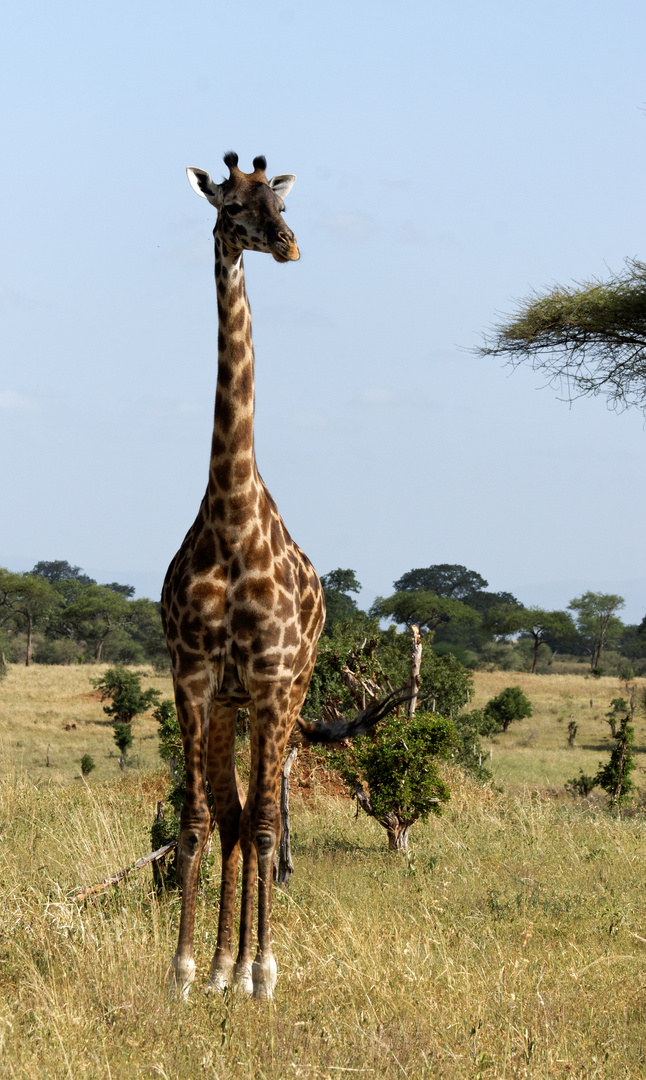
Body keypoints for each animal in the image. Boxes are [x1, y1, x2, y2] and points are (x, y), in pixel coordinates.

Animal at [163, 152, 406, 1002]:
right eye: (232, 206)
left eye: (280, 203)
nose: (290, 245)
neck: (232, 517)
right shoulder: (196, 677)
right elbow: (201, 822)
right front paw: (185, 971)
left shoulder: (271, 679)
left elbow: (270, 824)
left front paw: (262, 972)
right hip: (234, 703)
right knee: (234, 816)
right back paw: (221, 968)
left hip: (291, 693)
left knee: (261, 817)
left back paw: (247, 968)